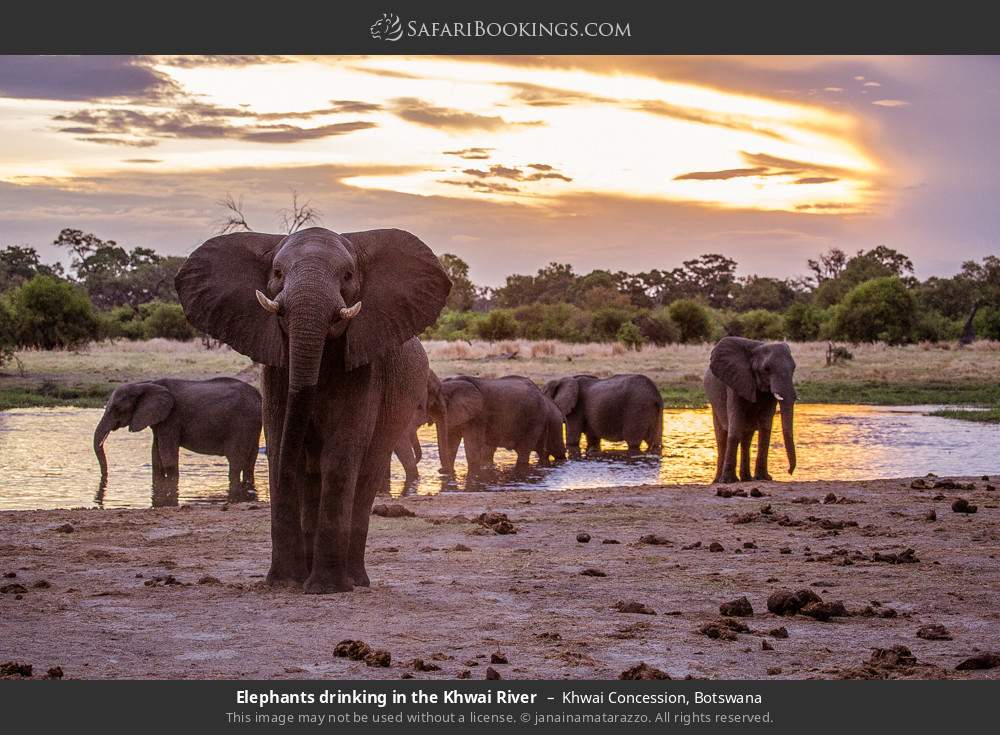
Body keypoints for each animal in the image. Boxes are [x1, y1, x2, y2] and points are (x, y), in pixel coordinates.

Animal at [176, 227, 450, 596]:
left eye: (347, 276)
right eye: (277, 273)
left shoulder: (364, 367)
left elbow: (340, 456)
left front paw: (325, 588)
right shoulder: (275, 367)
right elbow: (282, 446)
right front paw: (283, 583)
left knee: (364, 474)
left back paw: (354, 581)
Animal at [704, 336, 796, 486]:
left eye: (794, 368)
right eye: (766, 369)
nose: (789, 471)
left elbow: (765, 428)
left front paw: (764, 478)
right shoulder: (735, 381)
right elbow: (735, 428)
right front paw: (729, 481)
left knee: (746, 439)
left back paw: (746, 478)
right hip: (714, 404)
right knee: (722, 438)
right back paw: (718, 481)